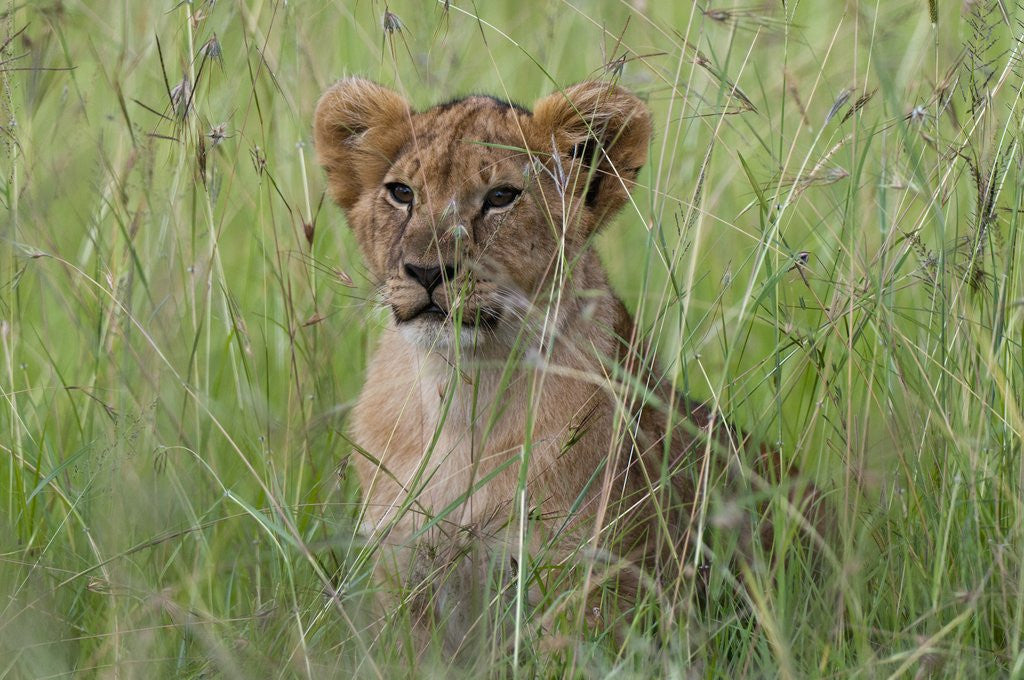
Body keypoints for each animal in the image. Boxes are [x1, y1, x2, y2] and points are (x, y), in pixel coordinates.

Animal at [314, 78, 822, 656]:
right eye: (402, 193)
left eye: (501, 197)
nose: (426, 271)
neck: (464, 388)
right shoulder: (402, 573)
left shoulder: (589, 579)